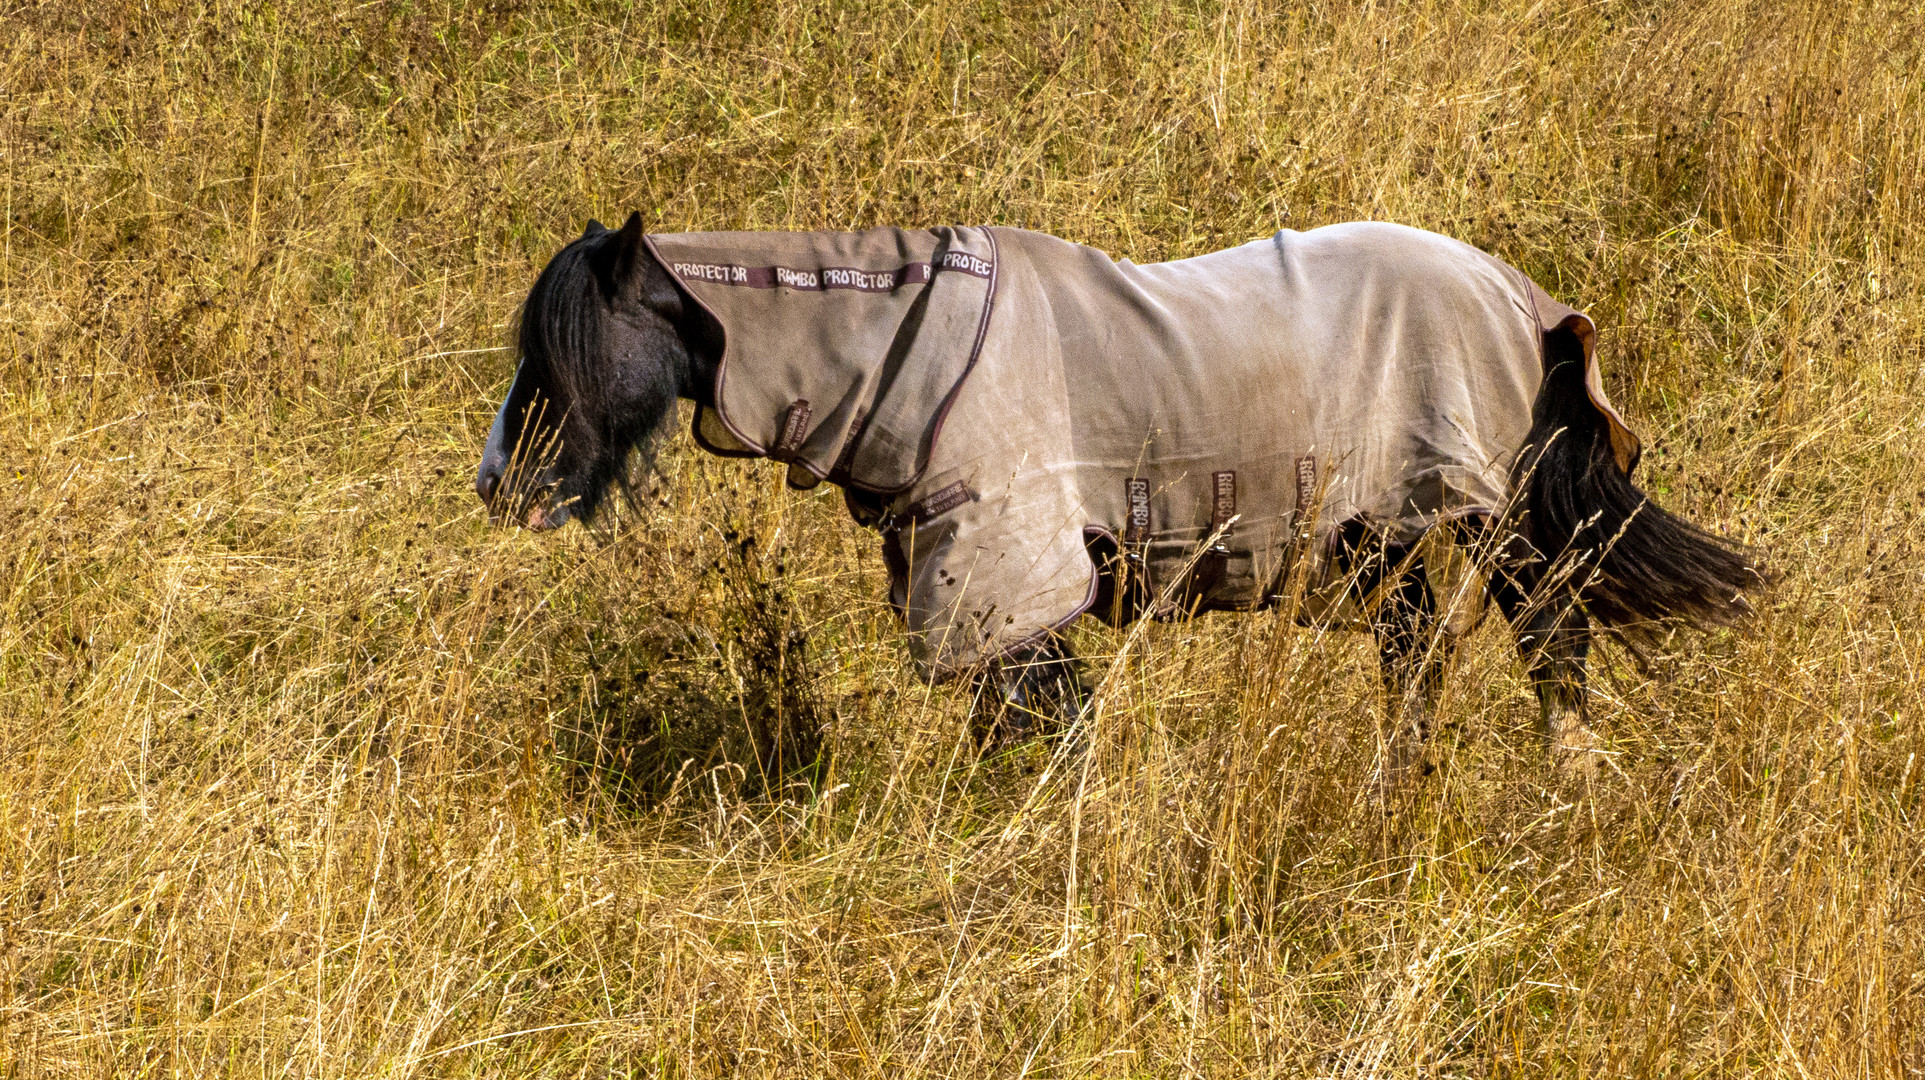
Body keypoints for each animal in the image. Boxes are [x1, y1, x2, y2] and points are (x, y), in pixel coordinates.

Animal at [477, 212, 1763, 781]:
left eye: (567, 348)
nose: (501, 485)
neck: (906, 346)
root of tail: (1525, 301)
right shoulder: (981, 589)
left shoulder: (1014, 576)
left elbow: (1043, 740)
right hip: (1397, 538)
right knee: (1421, 665)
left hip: (1491, 524)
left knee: (1550, 644)